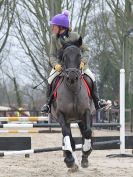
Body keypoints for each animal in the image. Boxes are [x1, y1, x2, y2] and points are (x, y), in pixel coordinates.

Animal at [50, 37, 93, 170]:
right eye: (64, 57)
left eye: (79, 55)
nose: (72, 77)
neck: (73, 89)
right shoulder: (61, 115)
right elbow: (66, 134)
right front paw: (69, 159)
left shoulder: (86, 112)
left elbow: (88, 132)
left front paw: (86, 152)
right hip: (68, 120)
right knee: (69, 136)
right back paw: (71, 160)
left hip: (79, 120)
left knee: (85, 132)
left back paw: (84, 157)